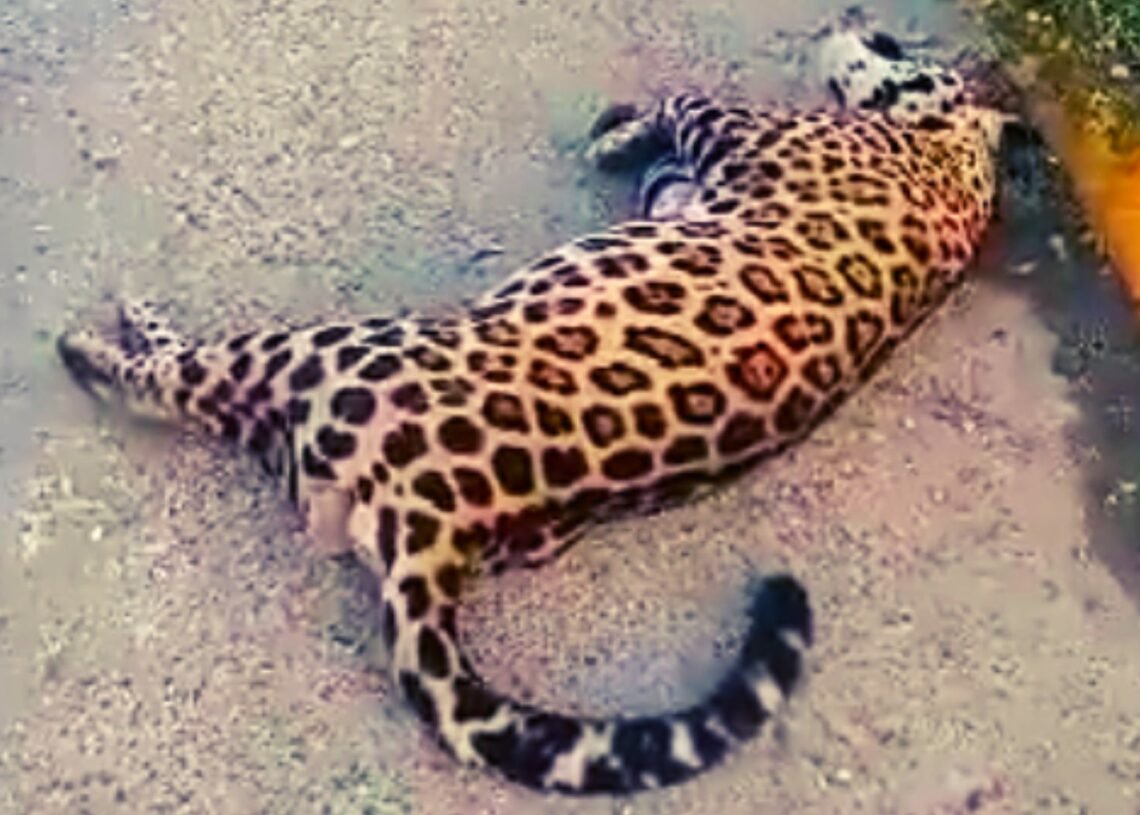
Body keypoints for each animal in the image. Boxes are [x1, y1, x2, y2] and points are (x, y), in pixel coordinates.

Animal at [56, 11, 1018, 796]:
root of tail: (444, 534)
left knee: (176, 382)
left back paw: (104, 337)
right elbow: (662, 171)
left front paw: (615, 131)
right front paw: (621, 139)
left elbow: (682, 95)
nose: (846, 15)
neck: (961, 165)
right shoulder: (698, 182)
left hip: (326, 352)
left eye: (891, 39)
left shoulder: (738, 130)